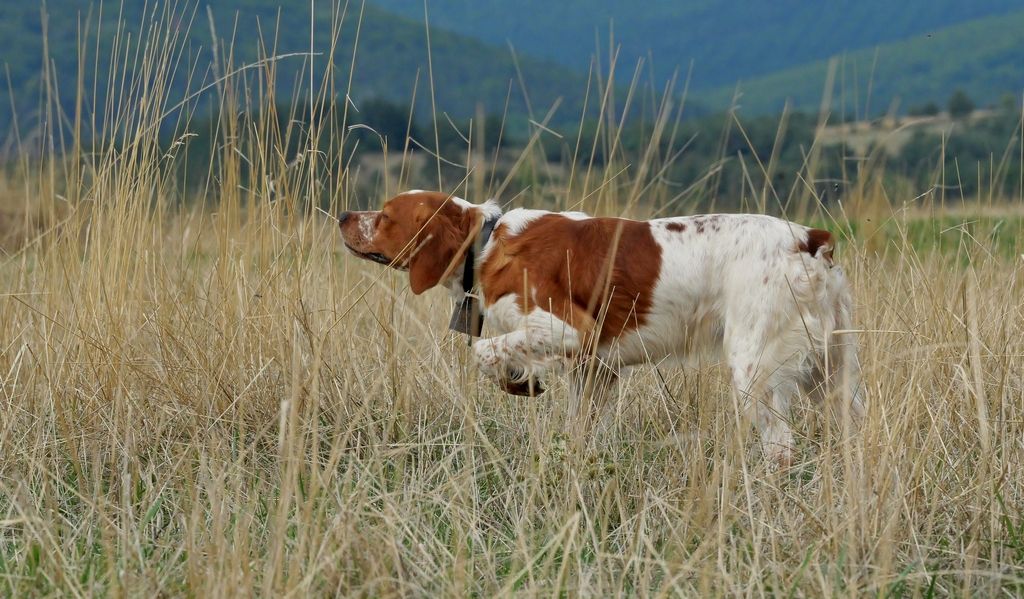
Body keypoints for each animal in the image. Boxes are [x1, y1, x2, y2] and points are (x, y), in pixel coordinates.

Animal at [342, 189, 864, 460]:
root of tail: (808, 239)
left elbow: (484, 351)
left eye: (384, 216)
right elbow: (580, 428)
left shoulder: (571, 331)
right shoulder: (597, 368)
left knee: (780, 446)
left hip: (754, 366)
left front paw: (519, 381)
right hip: (834, 372)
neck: (487, 245)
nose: (345, 213)